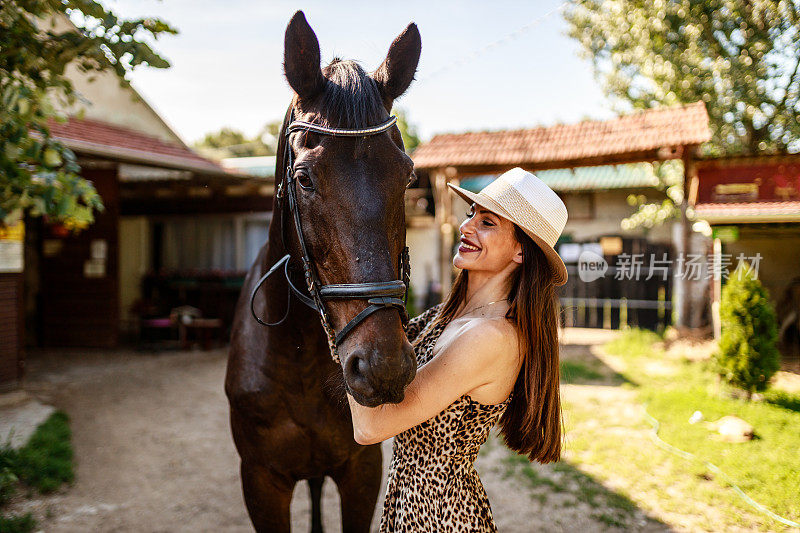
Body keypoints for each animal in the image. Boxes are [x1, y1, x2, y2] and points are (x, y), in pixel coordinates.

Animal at [225, 12, 422, 532]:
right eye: (304, 178)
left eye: (408, 177)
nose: (383, 368)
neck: (301, 357)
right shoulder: (261, 481)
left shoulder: (361, 470)